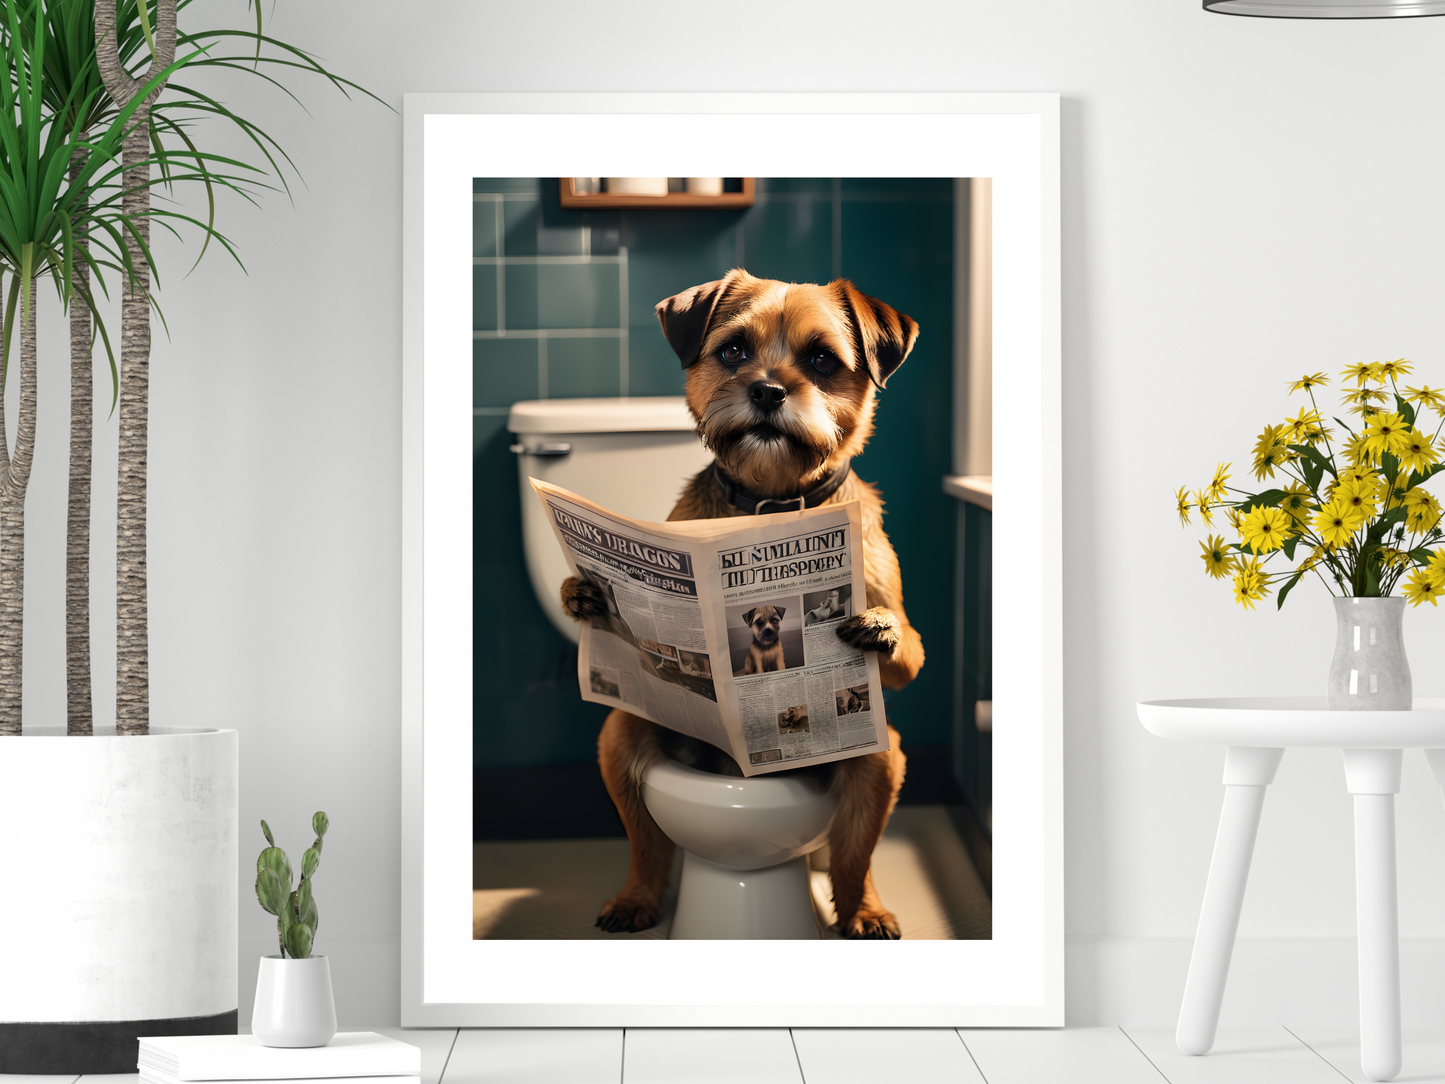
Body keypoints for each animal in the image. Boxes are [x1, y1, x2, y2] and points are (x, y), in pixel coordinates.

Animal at [563, 267, 924, 936]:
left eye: (822, 359)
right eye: (733, 351)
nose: (768, 390)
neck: (768, 508)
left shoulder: (909, 661)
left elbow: (903, 647)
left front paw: (878, 626)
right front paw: (584, 595)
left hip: (881, 758)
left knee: (852, 860)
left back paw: (864, 910)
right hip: (621, 736)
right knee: (647, 850)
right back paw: (635, 899)